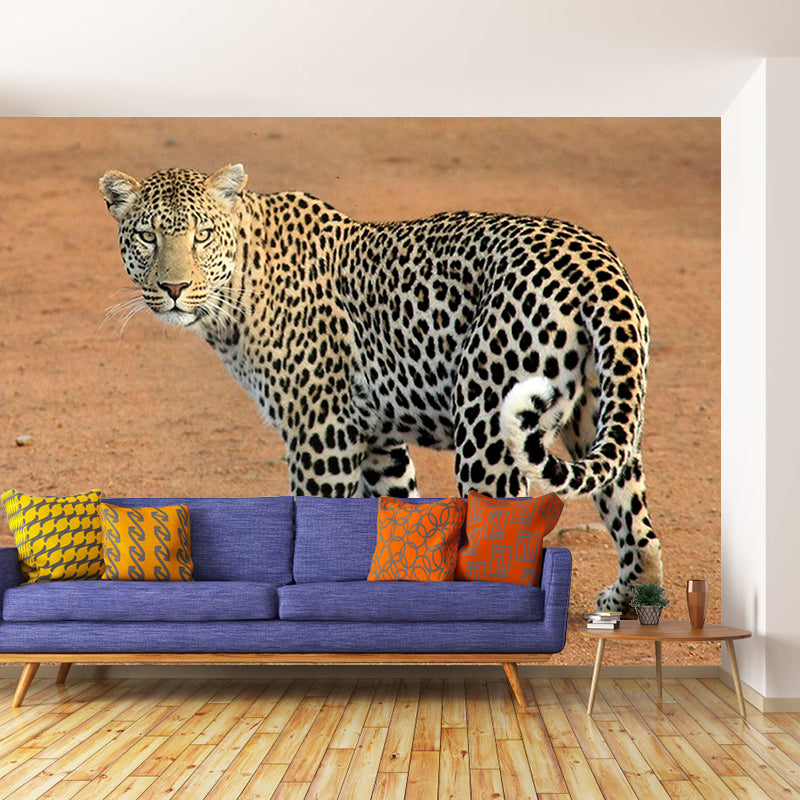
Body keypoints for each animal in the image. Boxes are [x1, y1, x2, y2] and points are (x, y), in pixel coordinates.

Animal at [100, 163, 663, 612]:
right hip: (600, 416)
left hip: (489, 438)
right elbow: (397, 521)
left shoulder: (321, 436)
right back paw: (629, 601)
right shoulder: (375, 442)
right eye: (147, 236)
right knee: (640, 533)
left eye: (201, 235)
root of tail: (595, 261)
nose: (173, 288)